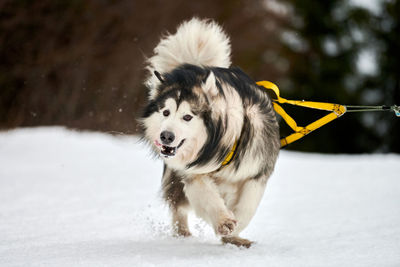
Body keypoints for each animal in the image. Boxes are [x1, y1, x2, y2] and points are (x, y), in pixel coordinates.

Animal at [142, 18, 280, 249]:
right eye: (166, 112)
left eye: (188, 117)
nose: (166, 136)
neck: (222, 146)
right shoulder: (191, 173)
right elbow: (206, 196)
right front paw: (224, 222)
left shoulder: (258, 170)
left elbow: (248, 205)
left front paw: (234, 232)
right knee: (178, 206)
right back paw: (182, 233)